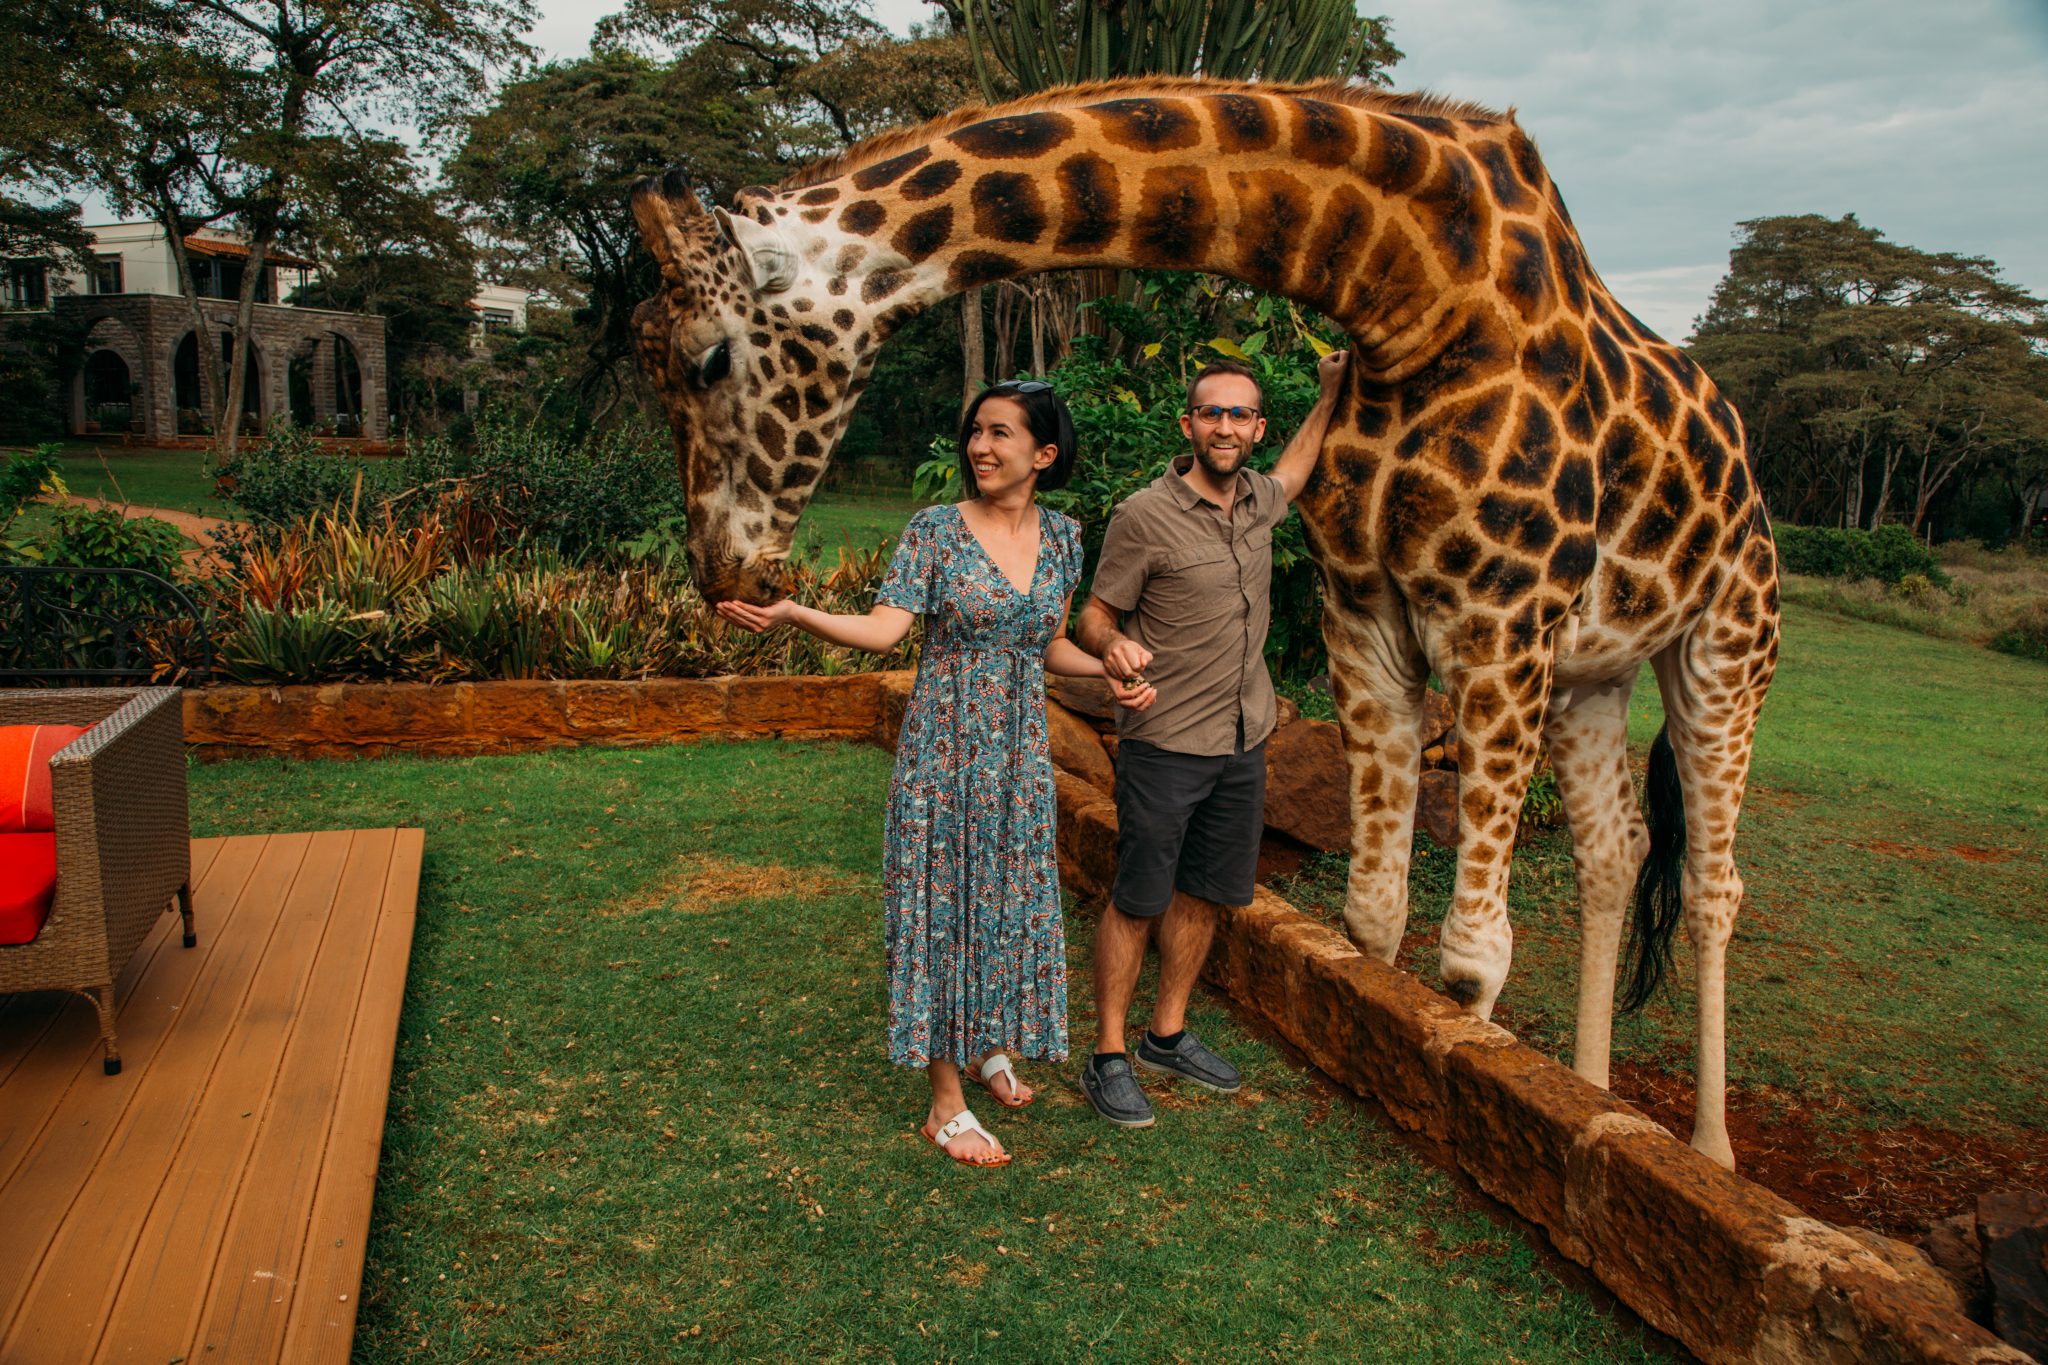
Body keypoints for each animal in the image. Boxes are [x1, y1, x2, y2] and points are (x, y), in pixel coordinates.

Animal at [634, 74, 1777, 1170]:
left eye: (706, 360)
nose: (722, 571)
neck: (1415, 297)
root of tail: (1744, 460)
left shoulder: (1502, 622)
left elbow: (1469, 961)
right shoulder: (1366, 616)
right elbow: (1373, 914)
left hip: (1726, 641)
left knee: (1714, 883)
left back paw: (1711, 1149)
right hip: (1595, 672)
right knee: (1615, 852)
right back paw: (1591, 1084)